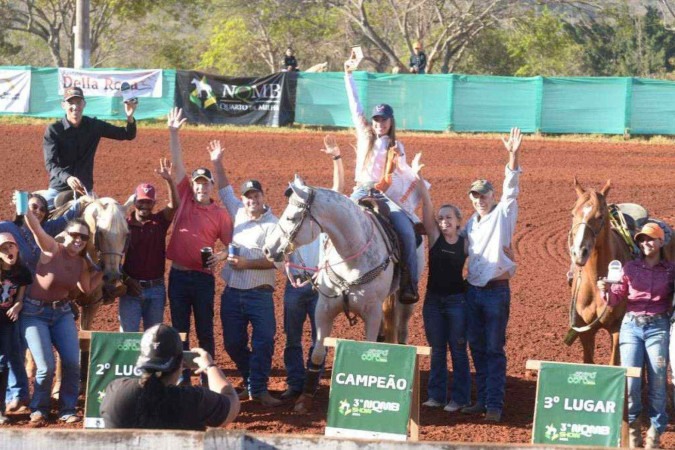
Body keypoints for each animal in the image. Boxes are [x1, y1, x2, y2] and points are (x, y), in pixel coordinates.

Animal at [266, 175, 414, 412]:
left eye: (291, 217)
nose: (267, 249)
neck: (351, 257)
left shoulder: (372, 313)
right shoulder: (324, 309)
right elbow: (317, 353)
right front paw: (304, 399)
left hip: (405, 302)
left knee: (402, 329)